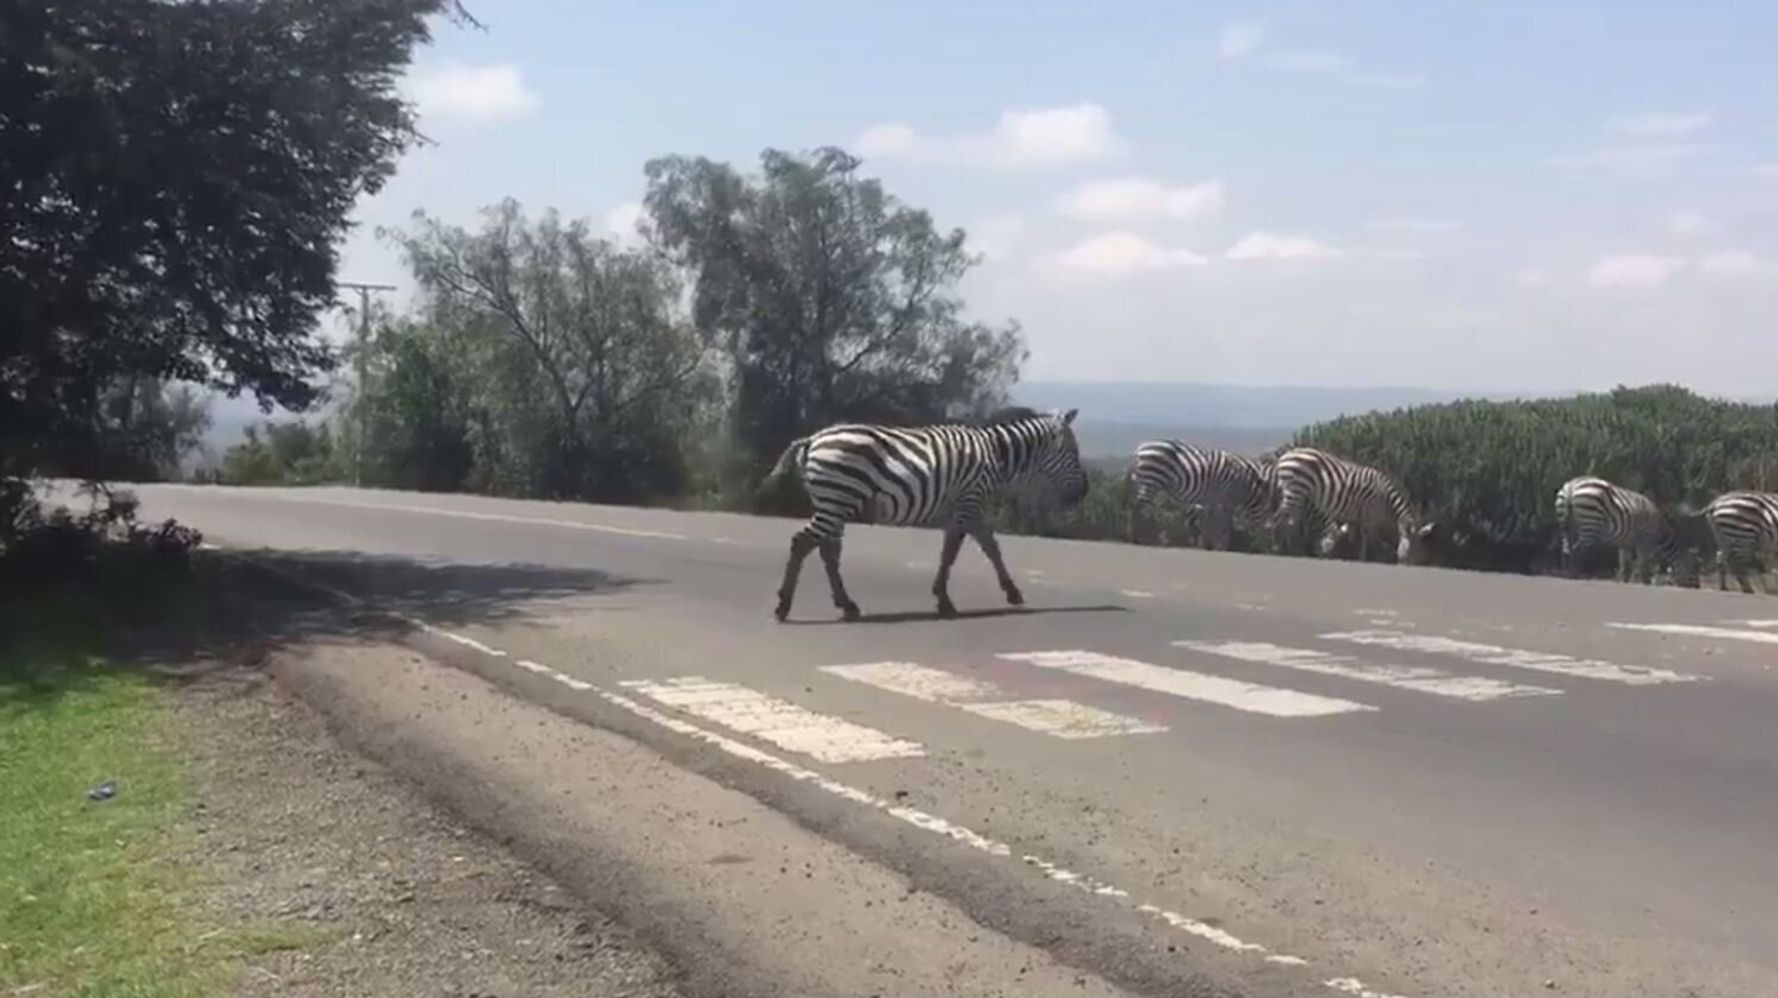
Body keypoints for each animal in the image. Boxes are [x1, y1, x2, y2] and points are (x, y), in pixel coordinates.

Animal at [760, 409, 1088, 619]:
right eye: (1073, 453)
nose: (1084, 491)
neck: (995, 455)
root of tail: (813, 440)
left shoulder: (970, 508)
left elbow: (991, 547)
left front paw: (1012, 592)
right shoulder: (967, 503)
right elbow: (952, 552)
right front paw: (944, 600)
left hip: (835, 503)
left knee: (827, 551)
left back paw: (847, 604)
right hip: (837, 498)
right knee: (802, 543)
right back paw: (783, 606)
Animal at [1123, 439, 1280, 547]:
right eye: (1266, 516)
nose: (1265, 546)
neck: (1243, 486)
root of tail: (1140, 450)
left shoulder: (1212, 499)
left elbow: (1207, 521)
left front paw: (1207, 543)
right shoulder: (1225, 498)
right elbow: (1223, 523)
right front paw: (1221, 544)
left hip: (1147, 482)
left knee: (1135, 508)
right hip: (1152, 480)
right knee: (1139, 509)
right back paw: (1141, 538)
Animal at [1265, 448, 1429, 565]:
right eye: (1414, 548)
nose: (1414, 563)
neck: (1386, 499)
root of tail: (1283, 458)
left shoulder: (1357, 516)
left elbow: (1356, 537)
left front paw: (1355, 556)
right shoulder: (1370, 514)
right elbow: (1370, 538)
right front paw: (1369, 557)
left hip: (1295, 494)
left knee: (1287, 521)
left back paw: (1287, 548)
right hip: (1295, 491)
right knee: (1278, 518)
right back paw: (1277, 548)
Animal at [1550, 473, 1685, 583]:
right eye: (1691, 566)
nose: (1692, 585)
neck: (1660, 532)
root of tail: (1571, 487)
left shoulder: (1625, 542)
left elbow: (1625, 563)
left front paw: (1625, 580)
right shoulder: (1645, 540)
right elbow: (1643, 564)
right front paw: (1644, 582)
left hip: (1566, 524)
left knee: (1566, 550)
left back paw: (1567, 574)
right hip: (1590, 521)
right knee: (1577, 550)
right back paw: (1575, 575)